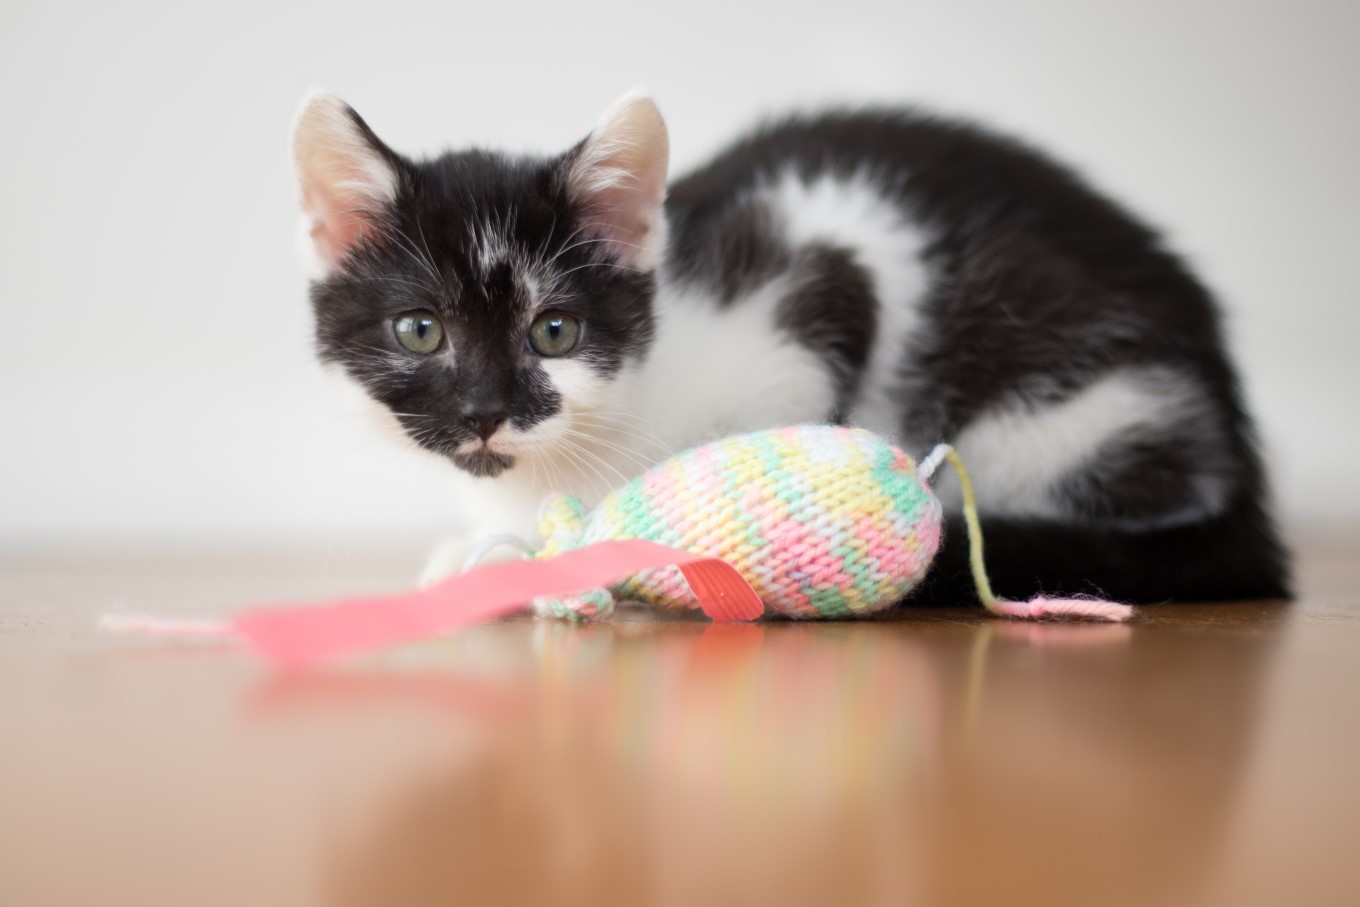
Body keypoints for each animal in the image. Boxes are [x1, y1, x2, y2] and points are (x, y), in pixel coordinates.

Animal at [292, 90, 1289, 603]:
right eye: (420, 330)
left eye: (555, 330)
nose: (486, 411)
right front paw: (483, 552)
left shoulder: (823, 257)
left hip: (1070, 399)